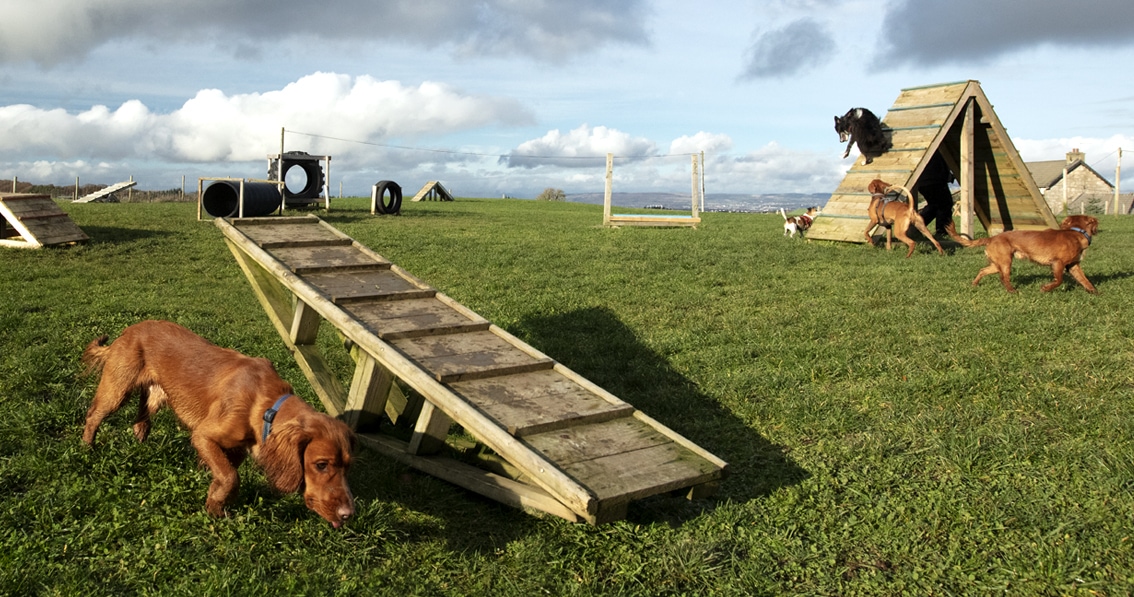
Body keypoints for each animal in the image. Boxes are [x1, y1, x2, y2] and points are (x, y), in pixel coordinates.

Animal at [82, 322, 356, 528]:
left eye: (348, 466)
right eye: (321, 465)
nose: (348, 515)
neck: (266, 406)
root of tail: (129, 330)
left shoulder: (236, 449)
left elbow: (227, 476)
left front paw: (215, 503)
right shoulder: (204, 436)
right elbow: (230, 477)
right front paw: (216, 508)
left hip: (157, 395)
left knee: (140, 417)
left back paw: (140, 440)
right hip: (117, 390)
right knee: (93, 416)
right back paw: (87, 448)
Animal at [948, 216, 1097, 295]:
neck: (1077, 232)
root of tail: (991, 238)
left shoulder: (1073, 266)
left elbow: (1085, 281)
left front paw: (1095, 292)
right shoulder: (1058, 263)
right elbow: (1059, 280)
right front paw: (1045, 288)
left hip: (997, 264)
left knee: (983, 270)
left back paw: (974, 284)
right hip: (1005, 263)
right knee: (1004, 278)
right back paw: (1013, 291)